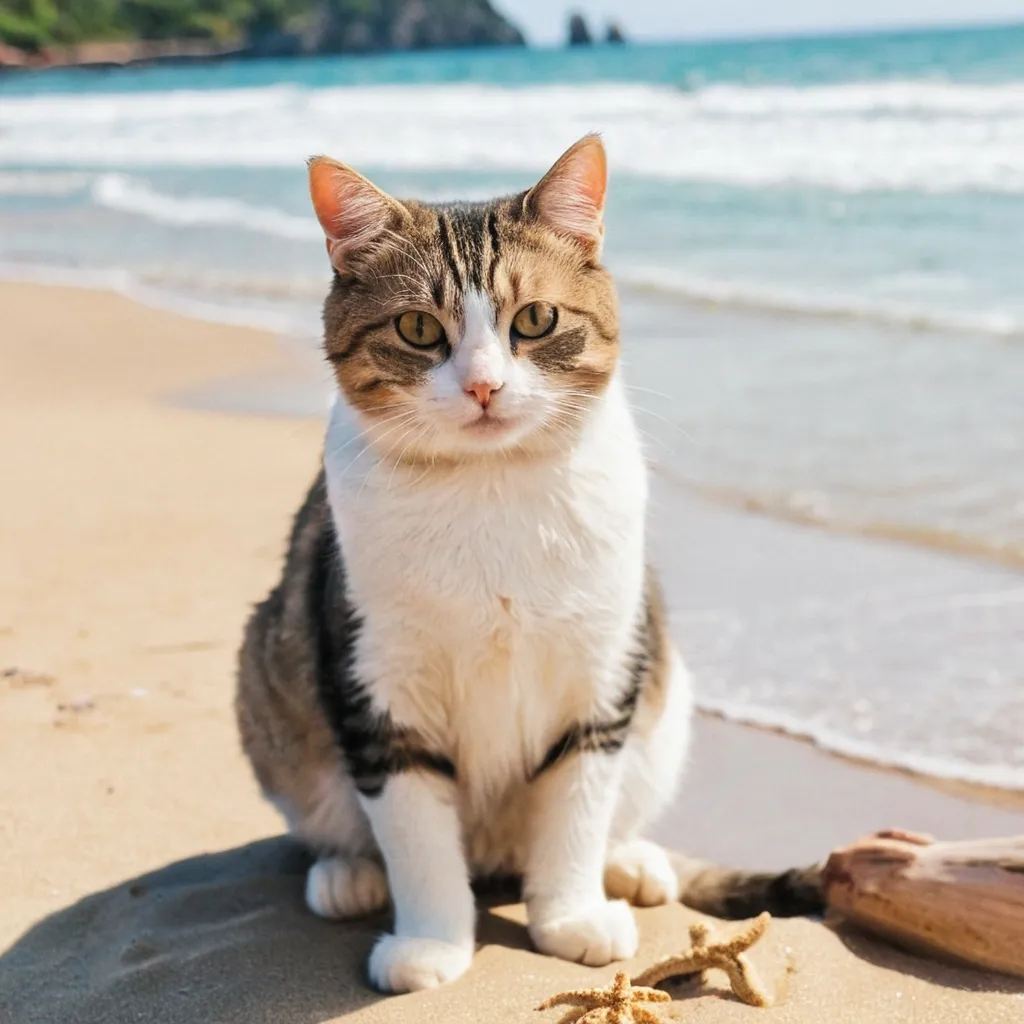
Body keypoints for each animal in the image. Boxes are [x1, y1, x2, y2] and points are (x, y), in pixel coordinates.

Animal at [235, 136, 819, 991]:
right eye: (418, 327)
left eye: (537, 319)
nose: (484, 385)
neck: (493, 485)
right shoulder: (380, 683)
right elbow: (415, 832)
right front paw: (431, 945)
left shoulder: (599, 672)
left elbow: (577, 806)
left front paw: (571, 916)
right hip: (271, 685)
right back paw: (348, 873)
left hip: (660, 693)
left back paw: (631, 864)